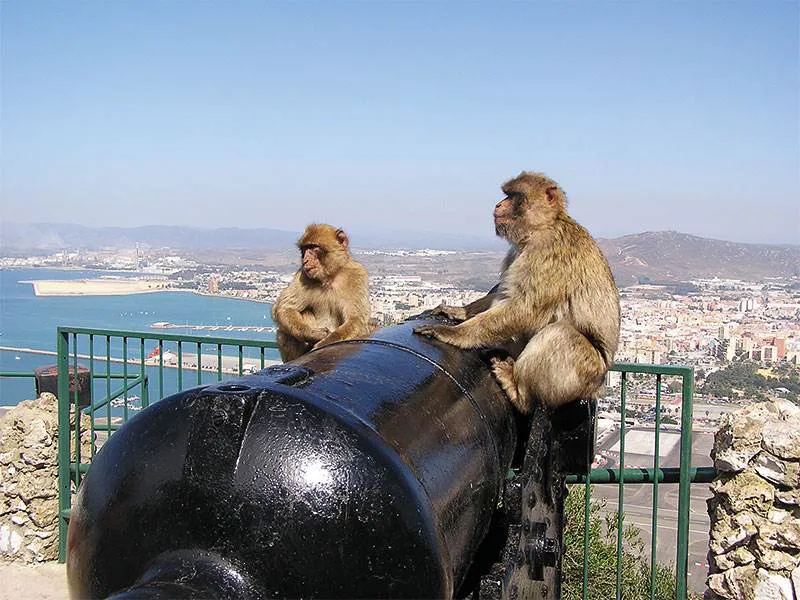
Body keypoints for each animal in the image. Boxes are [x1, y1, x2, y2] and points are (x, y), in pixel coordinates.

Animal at [272, 224, 372, 360]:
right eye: (304, 249)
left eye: (314, 247)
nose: (305, 260)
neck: (329, 277)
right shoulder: (303, 276)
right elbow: (284, 308)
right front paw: (314, 334)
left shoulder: (357, 275)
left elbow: (356, 319)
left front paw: (321, 345)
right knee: (285, 331)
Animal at [416, 171, 620, 414]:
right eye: (506, 194)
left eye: (514, 196)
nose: (498, 204)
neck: (542, 227)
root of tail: (599, 385)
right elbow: (503, 294)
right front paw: (460, 311)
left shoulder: (546, 254)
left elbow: (524, 309)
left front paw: (453, 333)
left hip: (583, 375)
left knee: (560, 334)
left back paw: (519, 393)